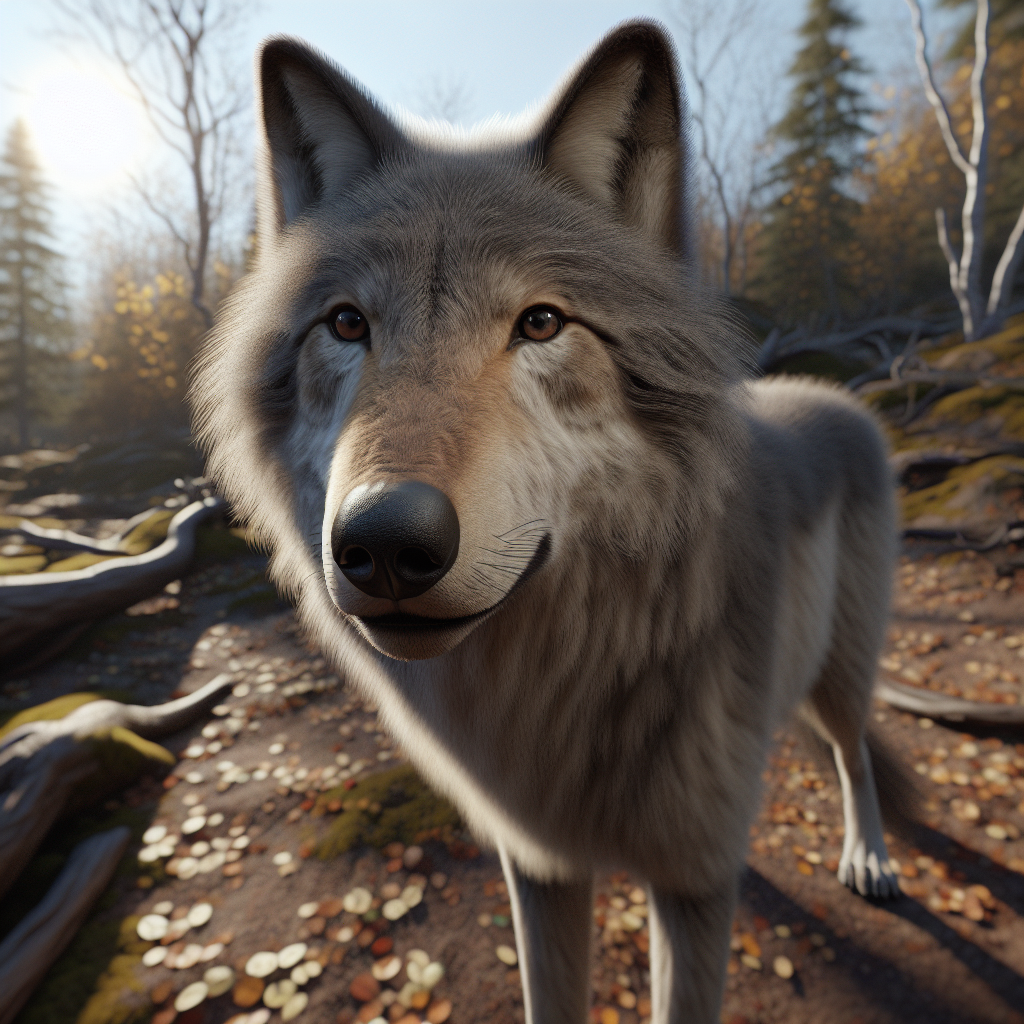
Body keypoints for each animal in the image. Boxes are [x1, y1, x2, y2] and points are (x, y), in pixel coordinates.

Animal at [193, 20, 902, 1023]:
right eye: (346, 324)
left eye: (539, 324)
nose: (386, 542)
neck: (585, 668)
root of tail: (838, 399)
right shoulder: (538, 865)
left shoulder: (693, 887)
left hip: (842, 672)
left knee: (855, 754)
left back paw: (869, 857)